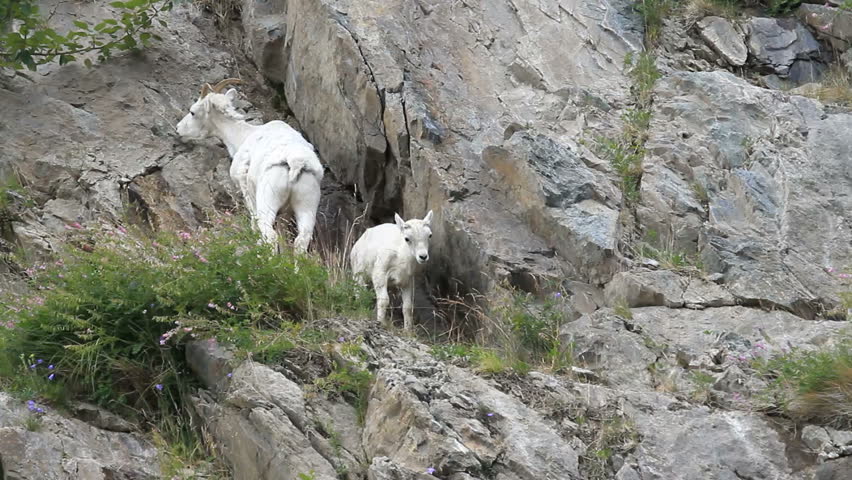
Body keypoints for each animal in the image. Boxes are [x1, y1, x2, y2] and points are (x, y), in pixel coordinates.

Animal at [175, 78, 324, 253]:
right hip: (307, 205)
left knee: (270, 234)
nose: (178, 129)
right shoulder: (285, 212)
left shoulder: (246, 189)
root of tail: (295, 162)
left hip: (267, 201)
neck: (242, 136)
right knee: (301, 240)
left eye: (192, 112)